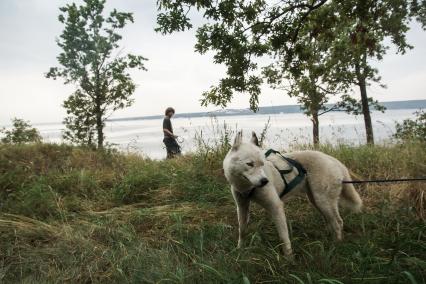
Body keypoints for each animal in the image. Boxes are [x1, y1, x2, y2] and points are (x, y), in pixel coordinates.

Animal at [223, 131, 362, 255]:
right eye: (249, 164)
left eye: (262, 164)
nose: (264, 181)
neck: (247, 187)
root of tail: (333, 160)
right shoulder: (242, 206)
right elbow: (242, 230)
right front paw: (240, 249)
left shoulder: (276, 207)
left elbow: (284, 237)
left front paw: (289, 258)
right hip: (316, 201)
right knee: (332, 221)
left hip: (323, 201)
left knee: (338, 222)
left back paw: (336, 244)